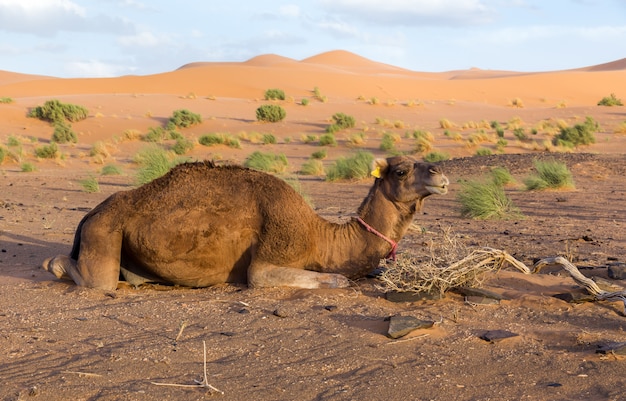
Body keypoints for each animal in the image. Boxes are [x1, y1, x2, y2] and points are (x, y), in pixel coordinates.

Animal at [41, 155, 446, 290]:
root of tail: (89, 214)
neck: (320, 235)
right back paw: (52, 263)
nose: (441, 175)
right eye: (402, 170)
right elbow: (339, 279)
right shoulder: (269, 258)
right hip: (104, 232)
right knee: (90, 277)